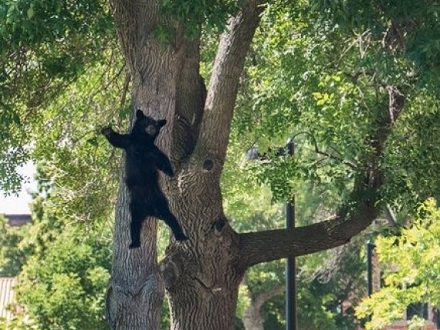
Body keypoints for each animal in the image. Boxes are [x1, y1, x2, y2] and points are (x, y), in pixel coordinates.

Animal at [102, 109, 188, 249]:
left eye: (157, 124)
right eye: (147, 121)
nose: (152, 127)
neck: (143, 142)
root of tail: (150, 210)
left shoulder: (154, 151)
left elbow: (163, 159)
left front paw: (170, 170)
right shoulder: (129, 142)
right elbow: (117, 140)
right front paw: (107, 131)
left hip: (160, 201)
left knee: (171, 218)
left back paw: (181, 236)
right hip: (135, 207)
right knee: (134, 225)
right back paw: (134, 243)